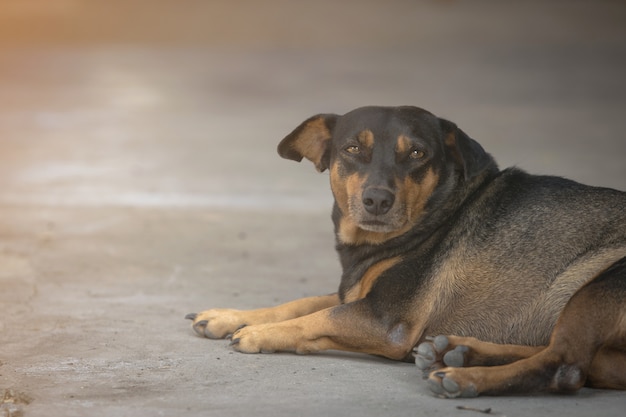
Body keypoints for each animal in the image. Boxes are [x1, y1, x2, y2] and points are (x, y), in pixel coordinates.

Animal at [185, 105, 624, 396]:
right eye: (351, 149)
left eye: (416, 153)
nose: (378, 200)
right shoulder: (357, 294)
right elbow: (302, 302)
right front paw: (229, 316)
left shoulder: (385, 319)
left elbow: (318, 317)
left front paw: (258, 333)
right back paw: (461, 351)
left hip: (600, 283)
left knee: (565, 365)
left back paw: (465, 377)